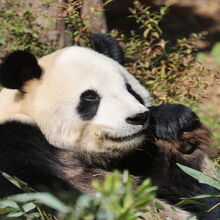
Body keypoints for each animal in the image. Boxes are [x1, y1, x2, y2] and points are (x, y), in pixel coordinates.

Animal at [0, 33, 218, 219]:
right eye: (90, 97)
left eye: (130, 90)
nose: (138, 117)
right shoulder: (15, 143)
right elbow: (36, 198)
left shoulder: (135, 158)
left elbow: (186, 192)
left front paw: (176, 127)